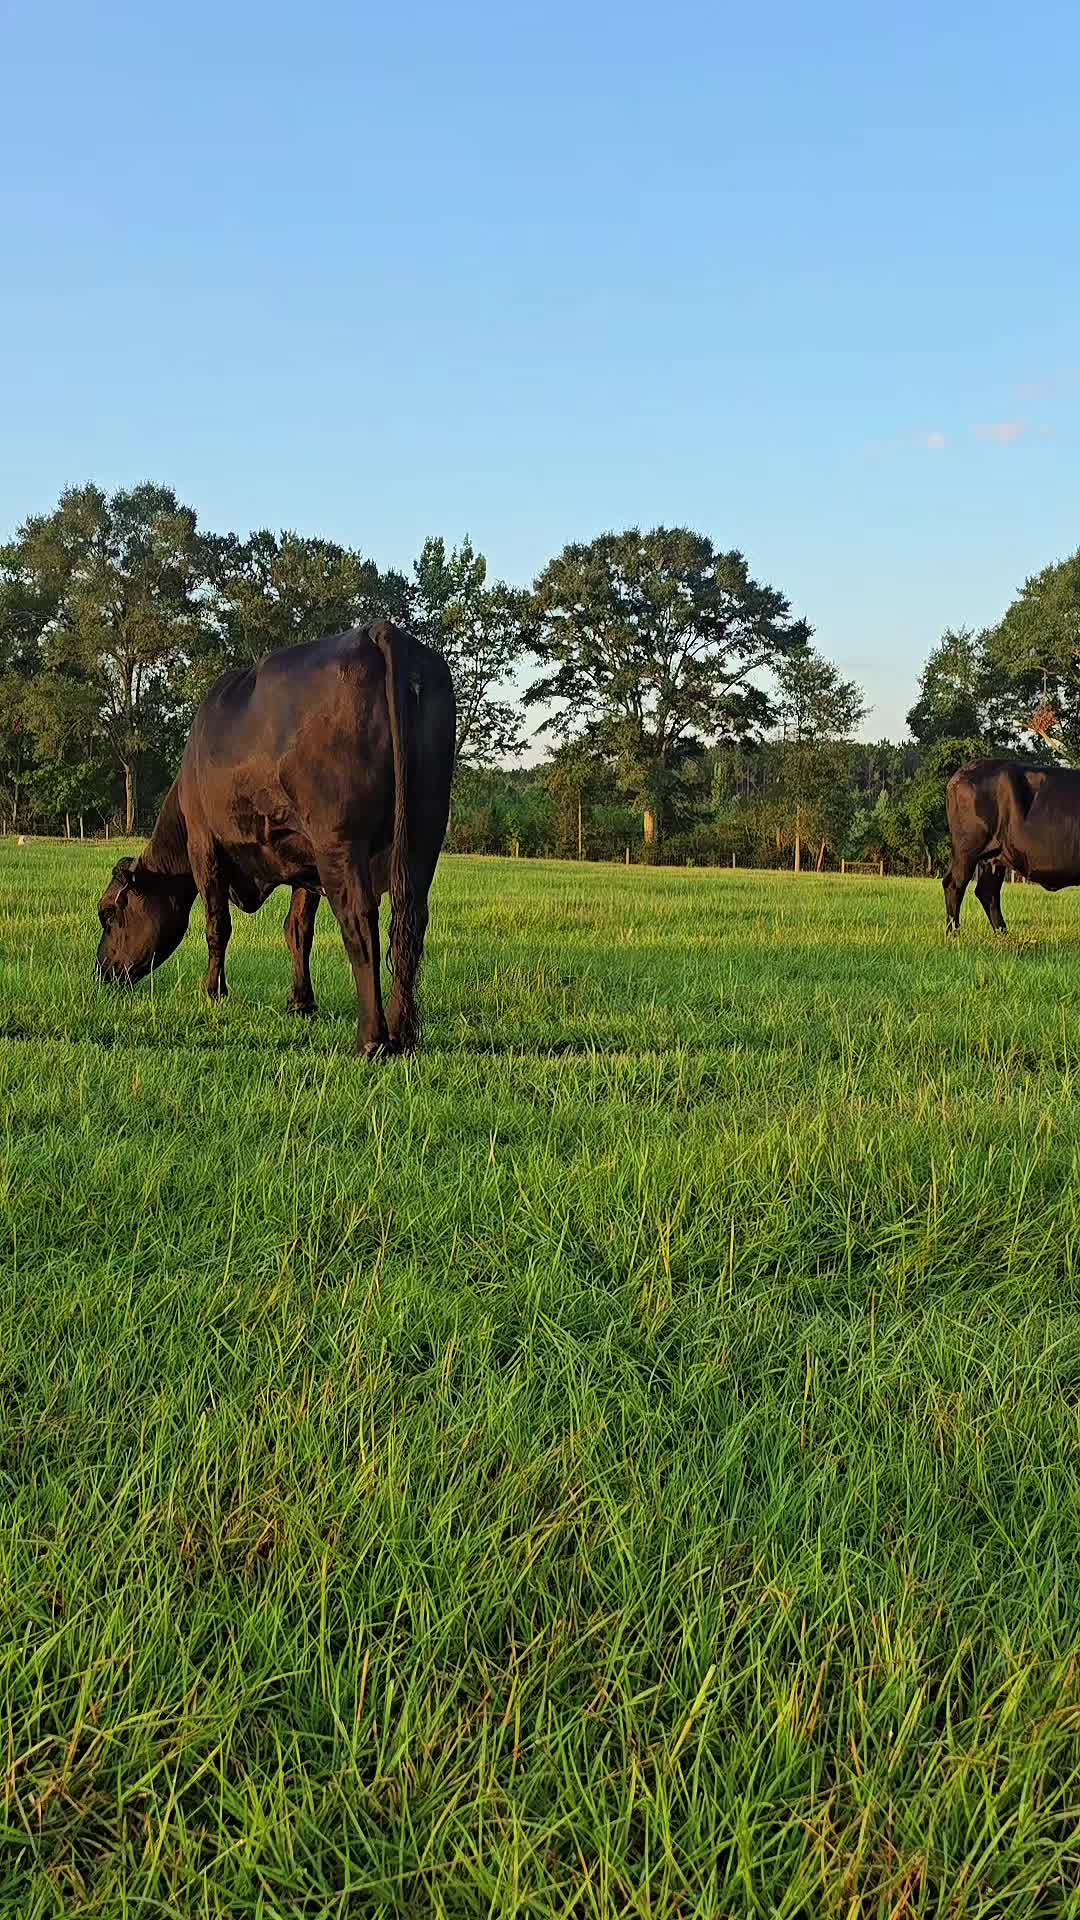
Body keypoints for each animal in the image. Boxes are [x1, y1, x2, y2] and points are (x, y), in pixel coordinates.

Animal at [96, 621, 455, 1055]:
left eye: (108, 913)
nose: (100, 970)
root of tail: (376, 631)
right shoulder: (306, 863)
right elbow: (297, 929)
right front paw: (301, 1003)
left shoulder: (205, 845)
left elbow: (217, 925)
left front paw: (214, 991)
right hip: (423, 832)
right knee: (409, 923)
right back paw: (403, 1034)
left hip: (340, 841)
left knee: (359, 922)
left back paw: (371, 1040)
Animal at [943, 758, 1080, 936]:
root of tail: (962, 773)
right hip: (966, 850)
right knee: (954, 885)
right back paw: (954, 934)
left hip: (993, 856)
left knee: (988, 892)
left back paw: (1002, 933)